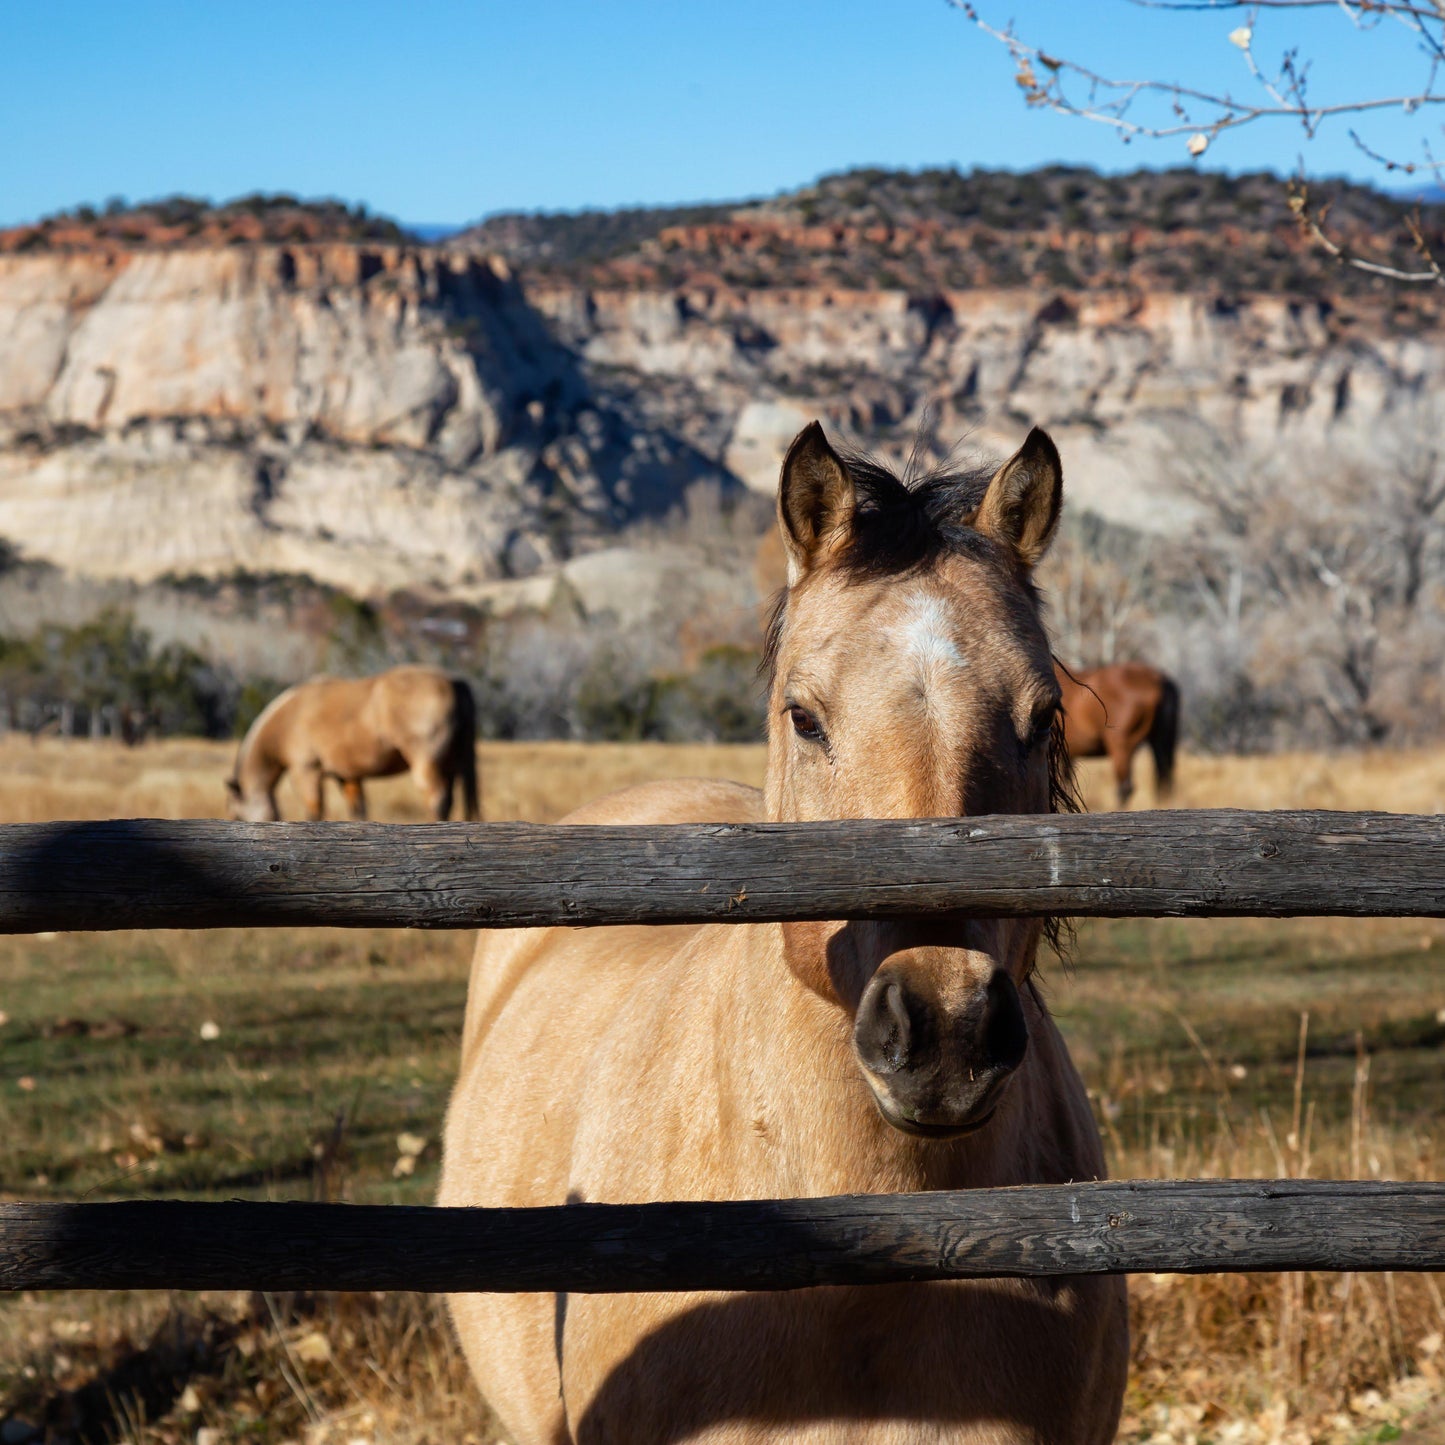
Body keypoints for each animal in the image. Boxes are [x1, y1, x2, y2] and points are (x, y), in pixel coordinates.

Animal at [221, 661, 479, 820]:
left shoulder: (306, 771)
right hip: (451, 765)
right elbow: (358, 811)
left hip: (427, 763)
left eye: (237, 814)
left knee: (437, 799)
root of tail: (455, 682)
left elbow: (314, 810)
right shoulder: (347, 776)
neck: (289, 719)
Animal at [1057, 661, 1179, 809]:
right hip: (1158, 742)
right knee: (1164, 782)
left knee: (1125, 788)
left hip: (1121, 747)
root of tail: (1158, 680)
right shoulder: (1068, 755)